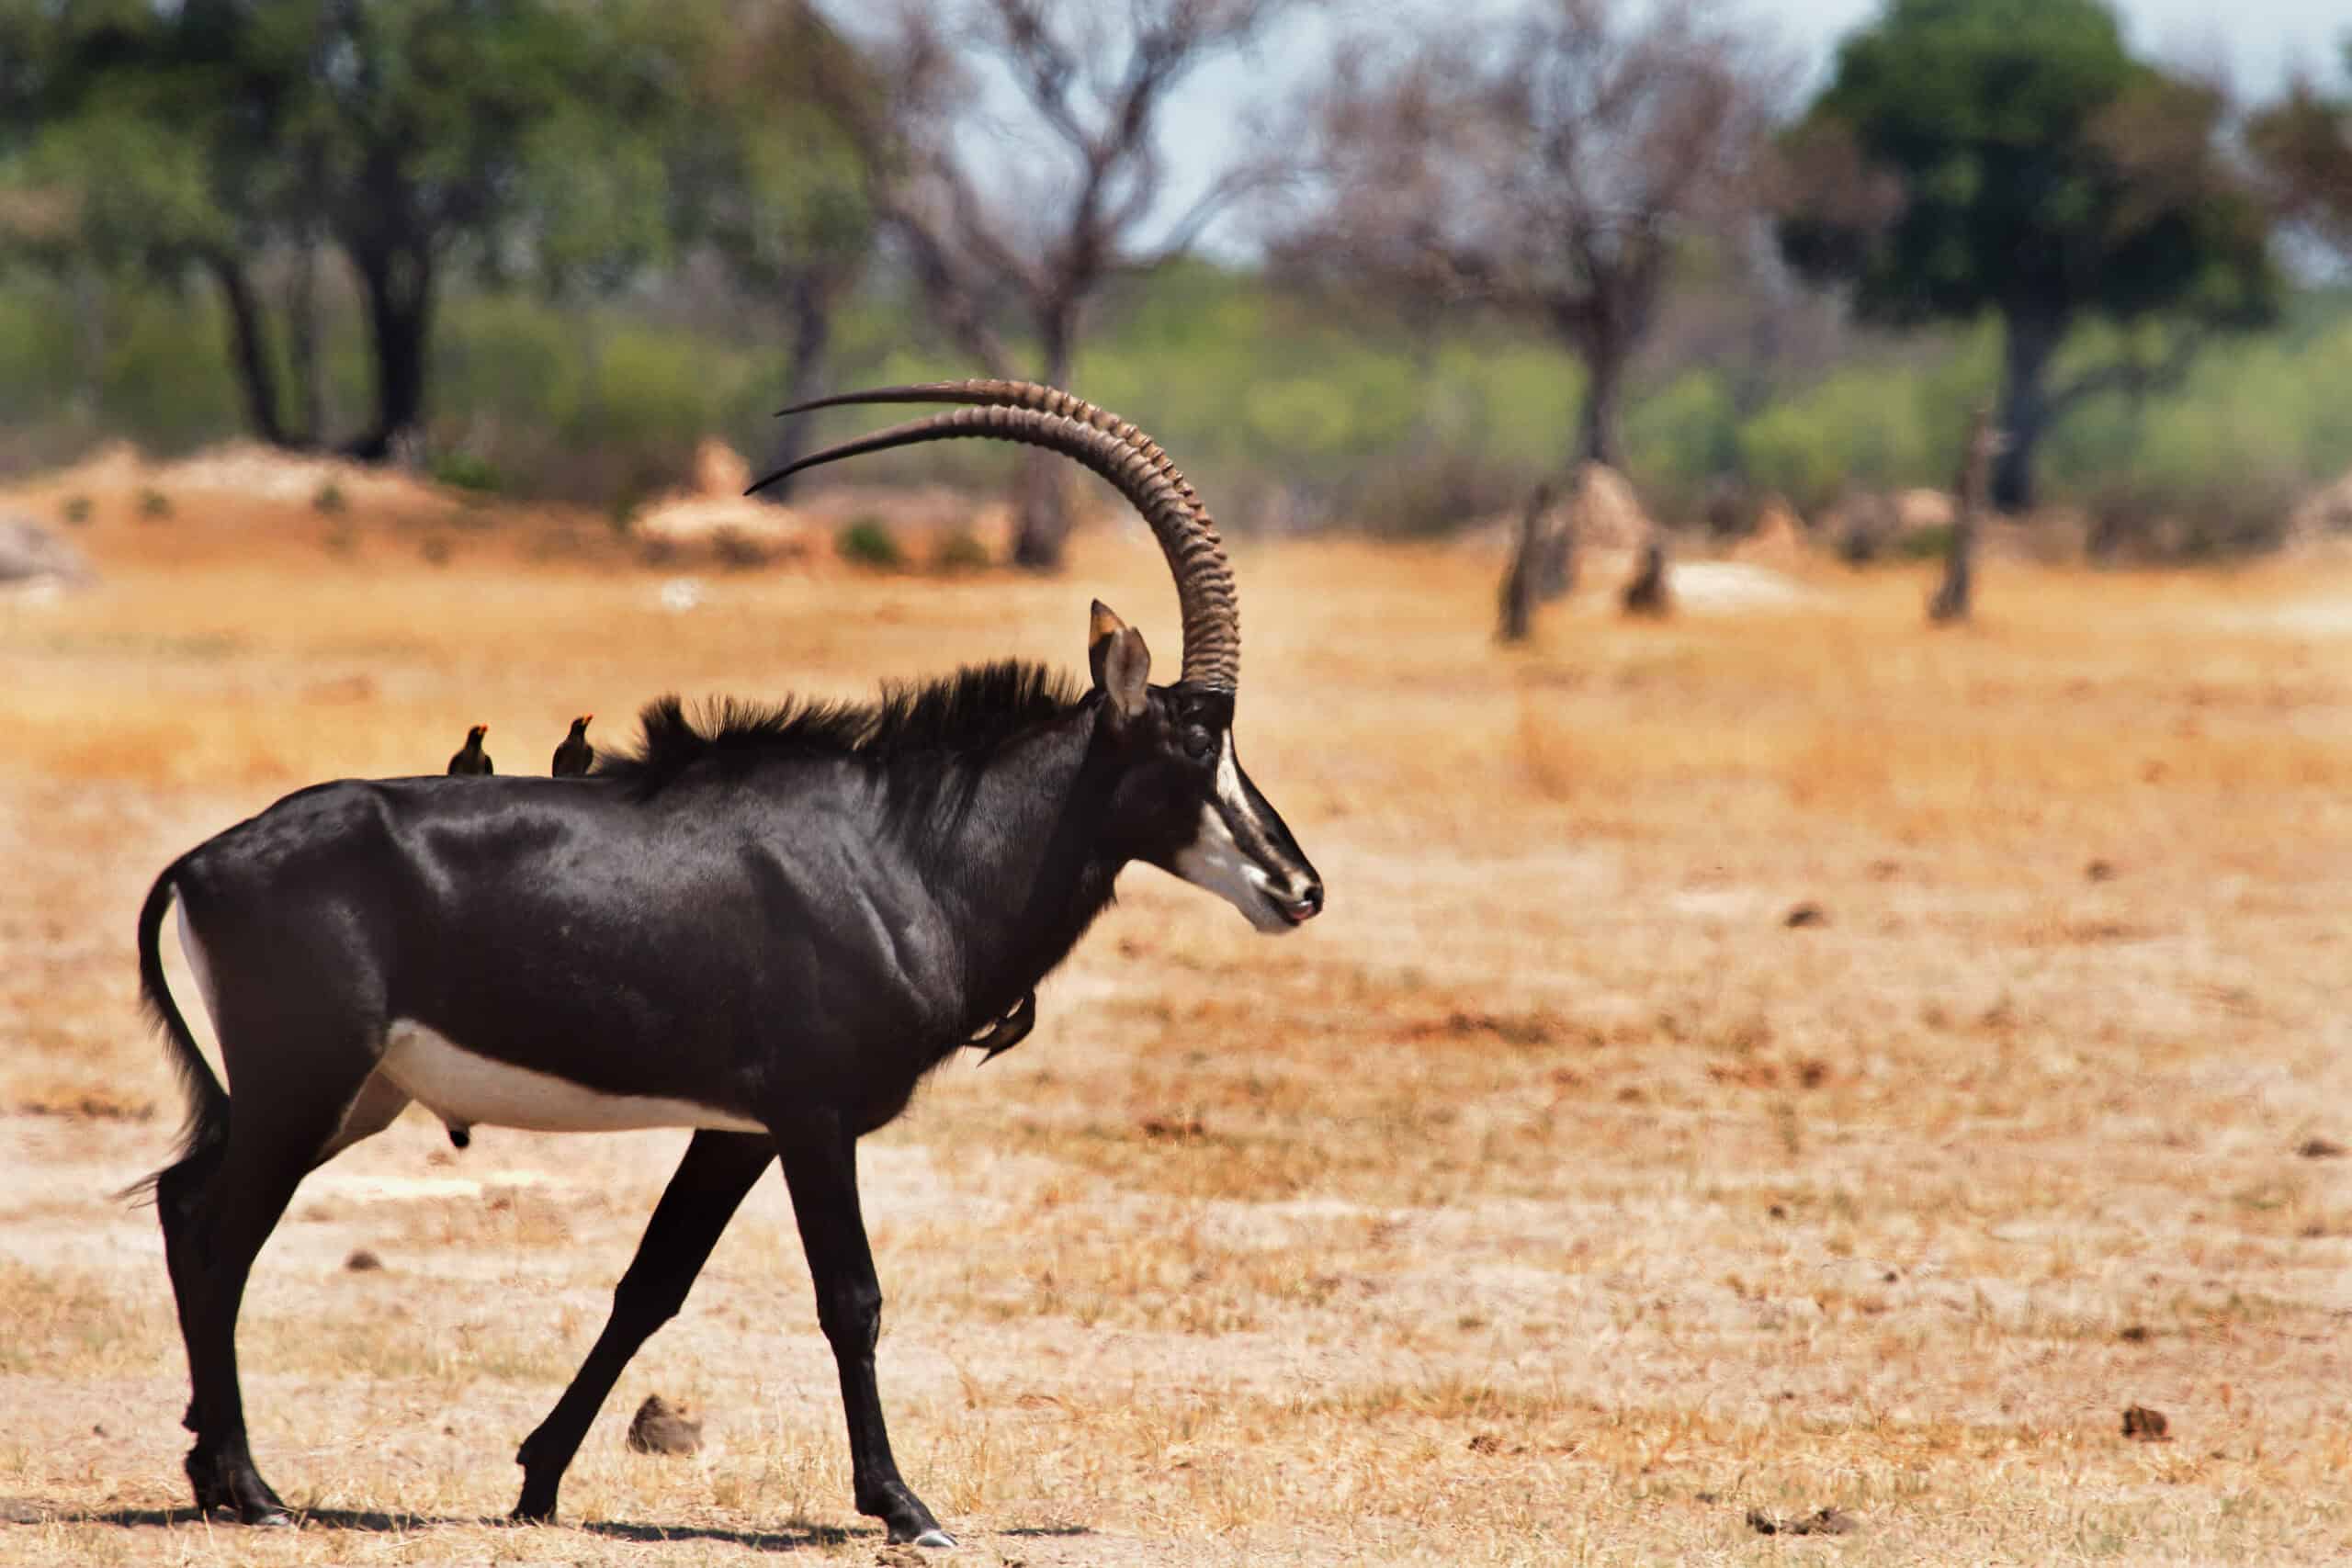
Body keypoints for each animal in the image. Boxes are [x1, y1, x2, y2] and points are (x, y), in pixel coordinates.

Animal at [133, 376, 1326, 1541]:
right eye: (1195, 739)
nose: (1298, 887)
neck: (899, 846)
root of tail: (202, 861)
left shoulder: (736, 1129)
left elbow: (651, 1284)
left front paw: (537, 1478)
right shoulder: (814, 1118)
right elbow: (851, 1297)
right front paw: (902, 1505)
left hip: (351, 1097)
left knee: (189, 1208)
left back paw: (214, 1475)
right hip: (307, 1084)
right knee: (220, 1235)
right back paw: (253, 1488)